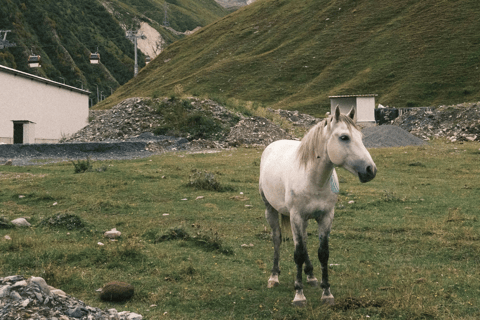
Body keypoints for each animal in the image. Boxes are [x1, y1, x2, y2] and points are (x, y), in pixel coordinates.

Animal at [258, 106, 376, 306]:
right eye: (344, 137)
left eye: (361, 137)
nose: (371, 170)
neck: (314, 179)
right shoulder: (296, 216)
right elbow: (298, 253)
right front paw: (299, 295)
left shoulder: (326, 217)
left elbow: (323, 253)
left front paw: (326, 292)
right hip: (271, 210)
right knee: (277, 239)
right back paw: (274, 277)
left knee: (304, 240)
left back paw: (311, 276)